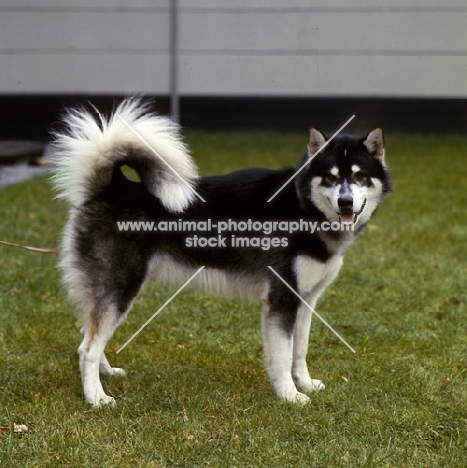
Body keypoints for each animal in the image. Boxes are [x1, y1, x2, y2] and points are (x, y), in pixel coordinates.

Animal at [52, 98, 392, 406]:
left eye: (359, 176)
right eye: (331, 177)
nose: (345, 202)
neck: (303, 207)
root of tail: (113, 186)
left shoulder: (306, 299)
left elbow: (300, 349)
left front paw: (305, 384)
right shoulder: (281, 298)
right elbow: (282, 355)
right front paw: (289, 395)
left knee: (88, 332)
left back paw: (106, 374)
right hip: (121, 287)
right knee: (87, 348)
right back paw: (96, 397)